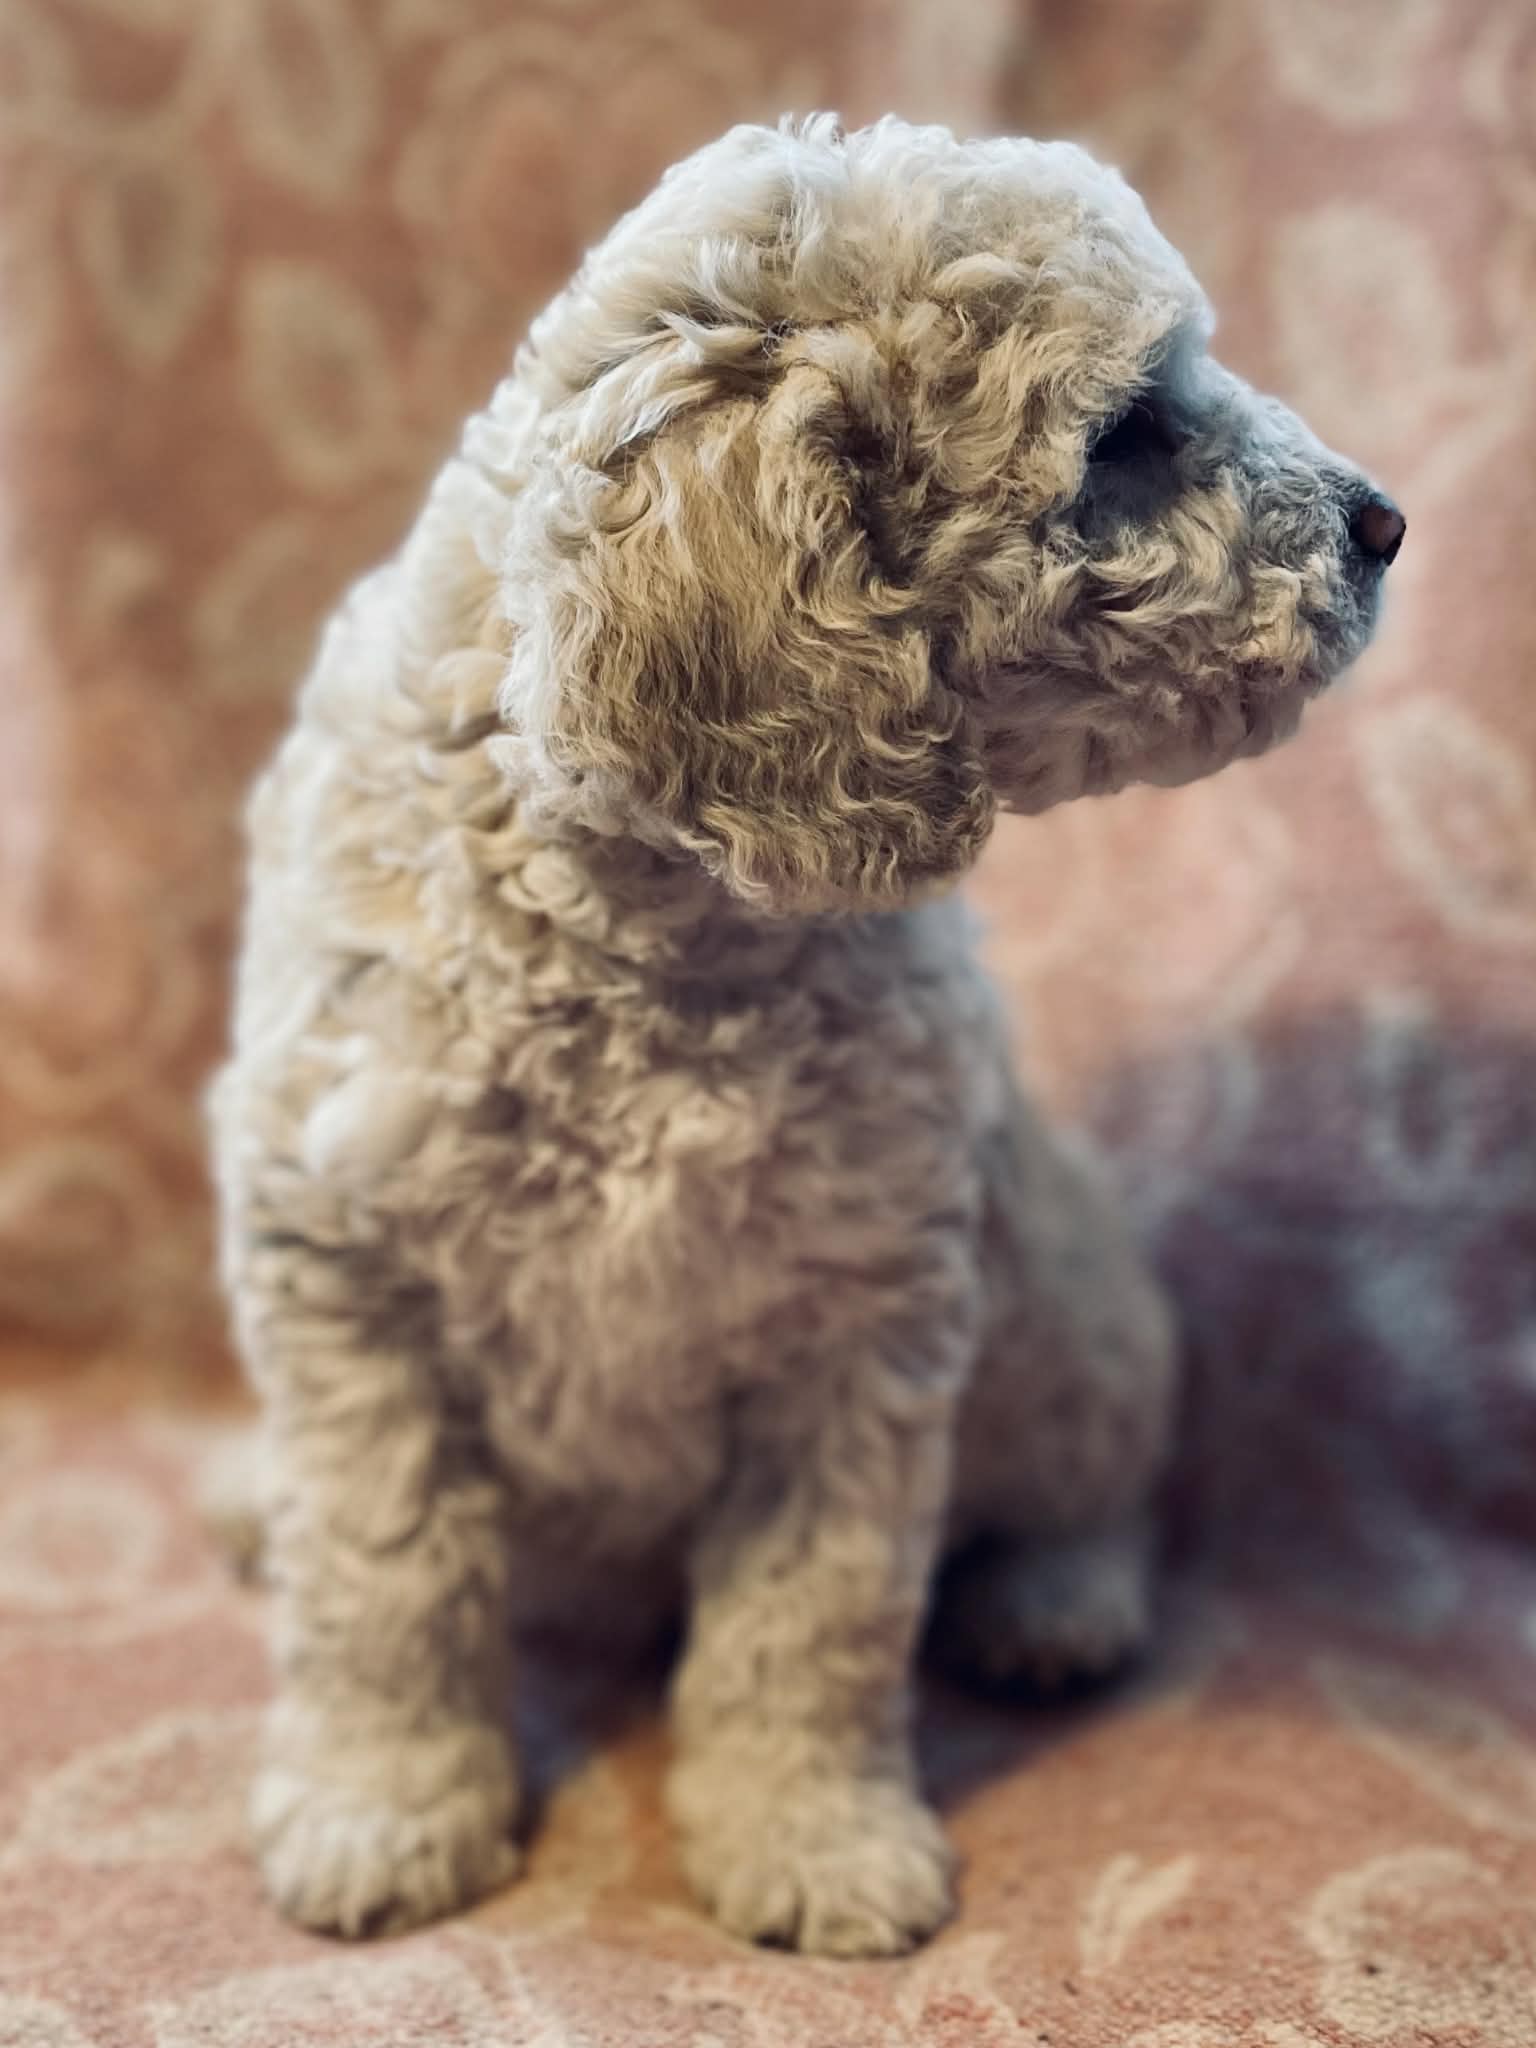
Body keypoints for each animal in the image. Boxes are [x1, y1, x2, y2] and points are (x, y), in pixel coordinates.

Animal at [210, 114, 1402, 1956]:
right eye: (1128, 434)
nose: (1387, 521)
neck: (656, 930)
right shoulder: (344, 1267)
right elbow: (385, 1573)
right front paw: (380, 1805)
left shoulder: (858, 1315)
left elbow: (810, 1615)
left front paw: (808, 1840)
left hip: (1075, 1320)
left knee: (1101, 1482)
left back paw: (1054, 1603)